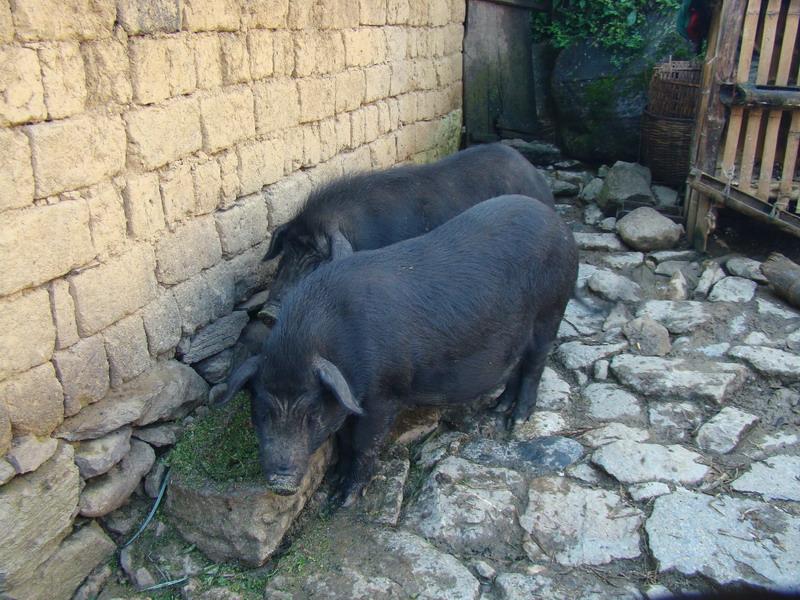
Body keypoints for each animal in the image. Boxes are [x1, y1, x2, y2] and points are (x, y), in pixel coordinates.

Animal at [222, 195, 580, 504]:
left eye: (310, 413)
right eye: (261, 411)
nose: (281, 483)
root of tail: (559, 224)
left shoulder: (384, 395)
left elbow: (364, 444)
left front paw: (342, 501)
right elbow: (343, 439)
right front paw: (334, 481)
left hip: (552, 308)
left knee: (535, 364)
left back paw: (516, 421)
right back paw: (497, 411)